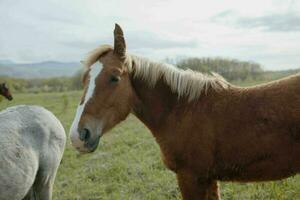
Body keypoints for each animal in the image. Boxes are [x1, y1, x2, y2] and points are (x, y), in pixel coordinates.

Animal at [69, 23, 300, 200]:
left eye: (115, 77)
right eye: (84, 79)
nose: (78, 136)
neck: (181, 110)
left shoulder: (190, 178)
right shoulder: (207, 179)